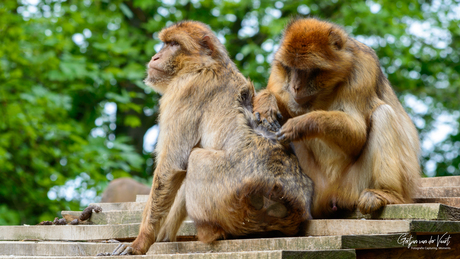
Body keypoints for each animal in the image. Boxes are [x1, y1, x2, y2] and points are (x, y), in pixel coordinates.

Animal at [99, 19, 312, 256]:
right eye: (165, 43)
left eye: (174, 44)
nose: (155, 57)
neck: (202, 64)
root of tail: (285, 203)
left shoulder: (184, 90)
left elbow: (171, 166)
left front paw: (140, 243)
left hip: (233, 201)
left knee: (196, 158)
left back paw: (209, 233)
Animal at [253, 17, 422, 219]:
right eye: (290, 68)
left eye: (308, 70)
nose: (295, 86)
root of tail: (330, 194)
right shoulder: (278, 74)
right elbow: (282, 106)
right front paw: (266, 101)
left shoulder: (363, 70)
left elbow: (358, 136)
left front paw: (301, 124)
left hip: (354, 185)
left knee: (383, 114)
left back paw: (387, 193)